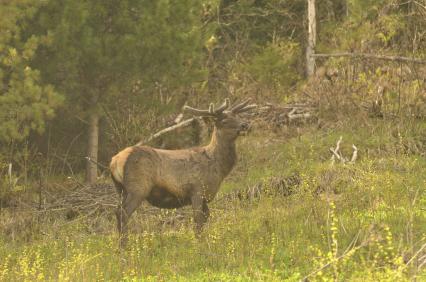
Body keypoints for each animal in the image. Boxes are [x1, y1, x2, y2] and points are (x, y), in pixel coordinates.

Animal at [110, 98, 256, 246]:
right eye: (224, 121)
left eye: (237, 116)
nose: (245, 125)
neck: (218, 168)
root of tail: (115, 161)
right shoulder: (196, 190)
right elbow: (198, 220)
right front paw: (199, 244)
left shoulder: (204, 196)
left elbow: (205, 218)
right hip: (138, 187)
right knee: (123, 212)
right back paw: (124, 245)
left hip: (121, 189)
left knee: (117, 211)